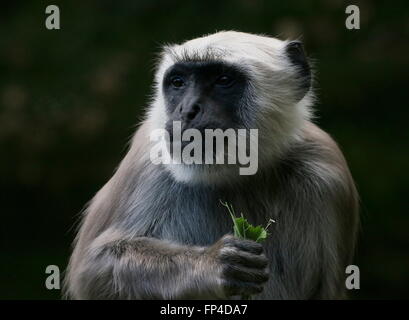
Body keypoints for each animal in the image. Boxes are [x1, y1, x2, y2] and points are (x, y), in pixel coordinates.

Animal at [63, 31, 356, 298]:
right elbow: (93, 268)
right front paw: (214, 264)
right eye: (178, 82)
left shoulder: (326, 170)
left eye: (223, 80)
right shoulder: (148, 157)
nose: (187, 110)